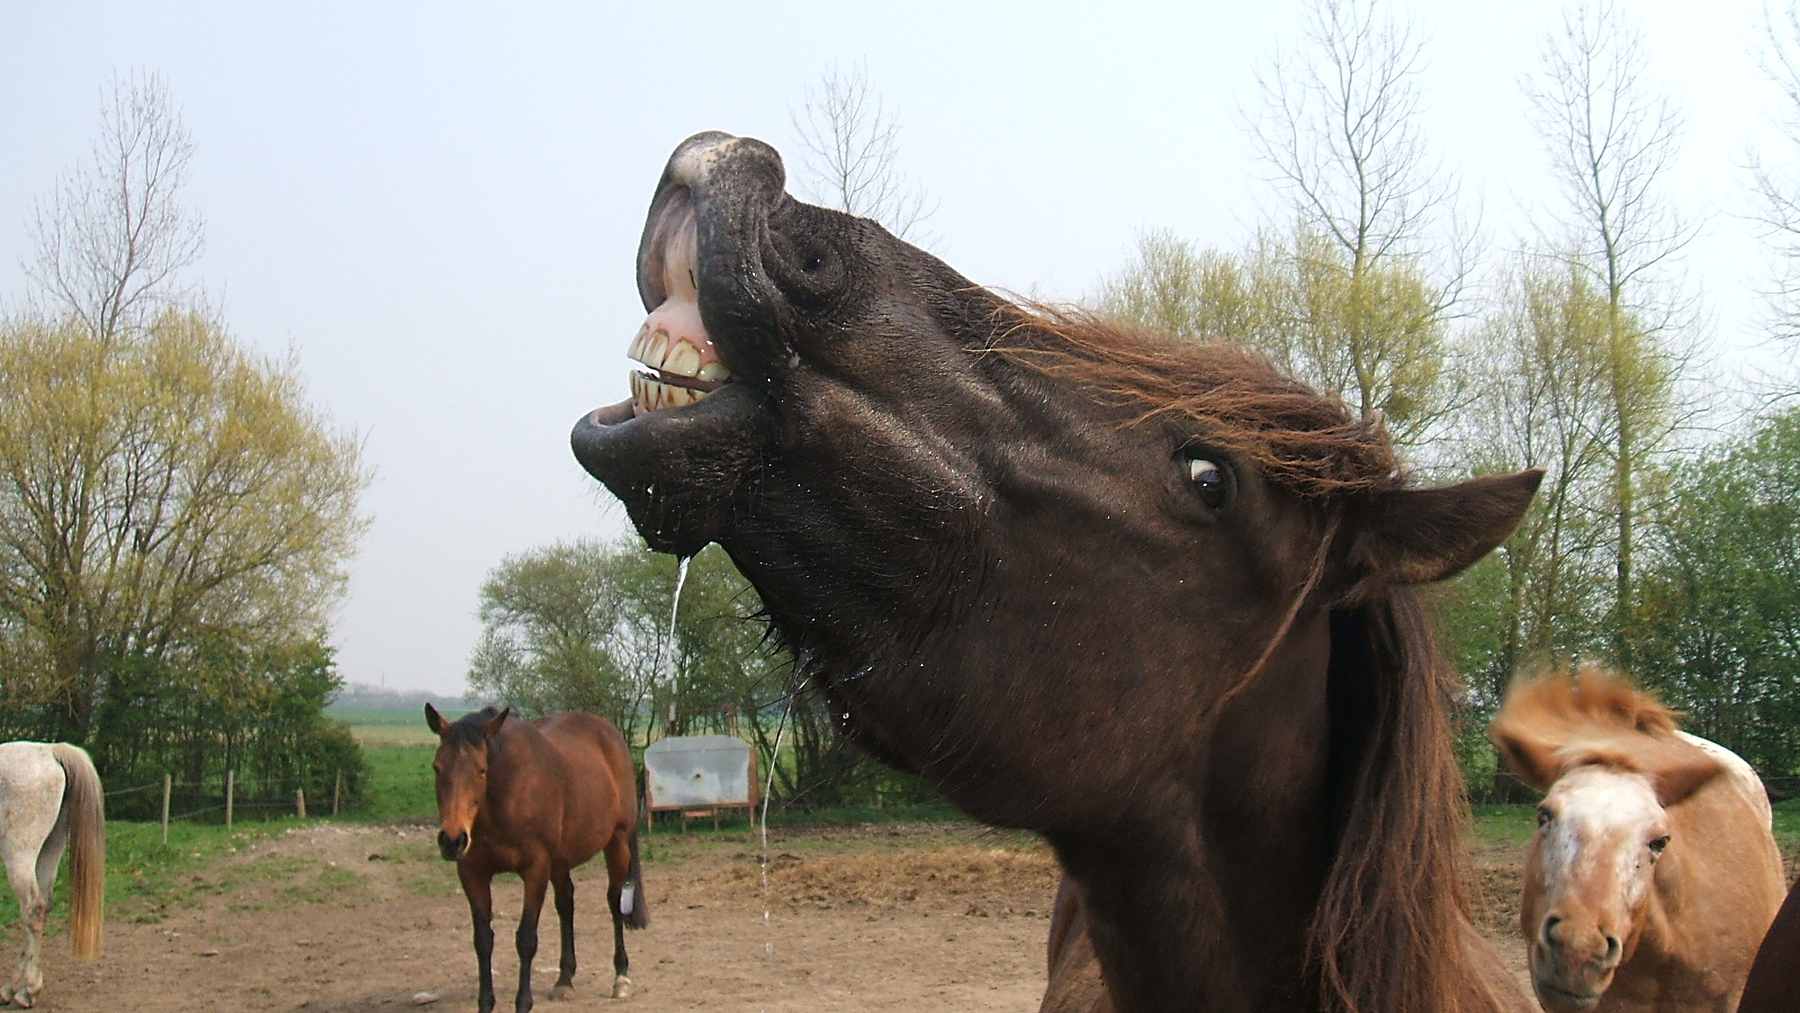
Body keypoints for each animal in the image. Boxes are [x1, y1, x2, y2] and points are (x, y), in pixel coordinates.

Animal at [0, 741, 105, 1009]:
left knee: (33, 909)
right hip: (51, 847)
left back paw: (27, 990)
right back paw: (15, 989)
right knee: (42, 906)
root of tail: (51, 751)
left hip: (20, 854)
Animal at [425, 705, 646, 1012]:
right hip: (561, 860)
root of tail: (609, 734)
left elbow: (526, 938)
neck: (504, 796)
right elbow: (483, 940)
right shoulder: (472, 873)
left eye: (482, 770)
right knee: (566, 904)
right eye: (437, 767)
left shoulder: (535, 869)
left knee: (615, 903)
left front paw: (523, 1003)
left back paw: (621, 977)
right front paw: (486, 1003)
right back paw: (564, 979)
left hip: (617, 842)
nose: (452, 840)